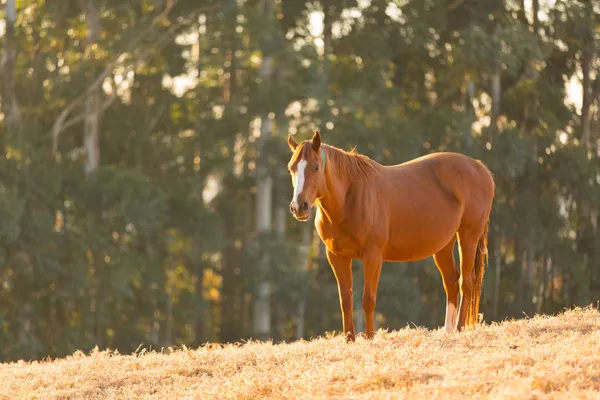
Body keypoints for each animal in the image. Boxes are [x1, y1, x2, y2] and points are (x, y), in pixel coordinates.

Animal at [288, 130, 494, 340]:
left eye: (315, 167)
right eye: (292, 168)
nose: (299, 207)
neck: (349, 198)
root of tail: (480, 168)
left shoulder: (372, 256)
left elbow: (368, 299)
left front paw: (369, 338)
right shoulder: (337, 256)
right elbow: (346, 300)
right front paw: (349, 339)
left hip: (468, 237)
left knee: (466, 282)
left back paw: (460, 328)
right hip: (444, 246)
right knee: (451, 281)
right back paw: (448, 330)